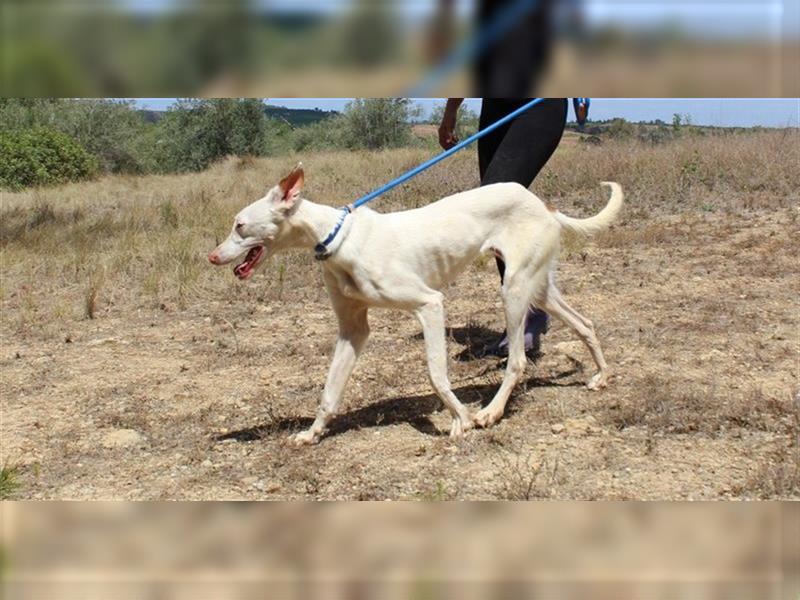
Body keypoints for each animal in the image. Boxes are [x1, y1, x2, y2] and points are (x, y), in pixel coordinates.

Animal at [209, 164, 620, 446]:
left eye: (240, 225)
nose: (212, 257)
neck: (338, 237)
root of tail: (543, 204)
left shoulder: (430, 304)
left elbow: (436, 374)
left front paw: (461, 418)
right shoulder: (353, 330)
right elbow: (329, 391)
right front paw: (312, 433)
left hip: (514, 290)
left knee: (517, 360)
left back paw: (490, 412)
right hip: (537, 288)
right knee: (585, 324)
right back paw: (601, 377)